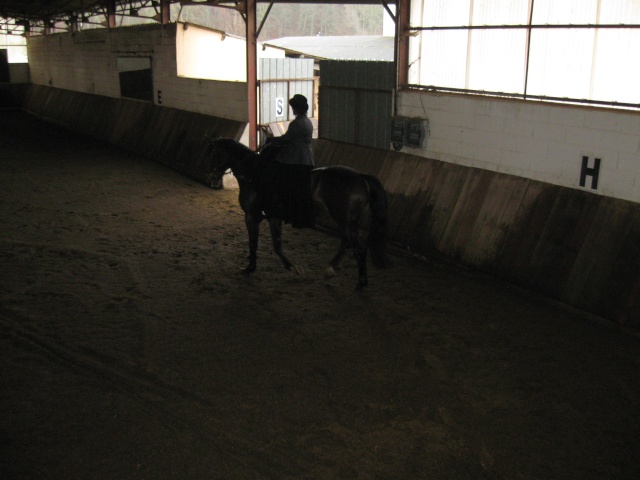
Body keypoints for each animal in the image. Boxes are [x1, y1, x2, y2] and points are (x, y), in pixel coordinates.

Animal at [210, 137, 390, 290]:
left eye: (216, 153)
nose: (212, 177)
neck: (253, 174)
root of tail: (361, 177)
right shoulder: (272, 218)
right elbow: (276, 245)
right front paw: (290, 266)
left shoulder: (252, 217)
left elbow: (254, 243)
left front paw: (251, 268)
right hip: (352, 222)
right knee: (358, 246)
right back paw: (361, 282)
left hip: (343, 219)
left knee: (352, 244)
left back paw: (332, 269)